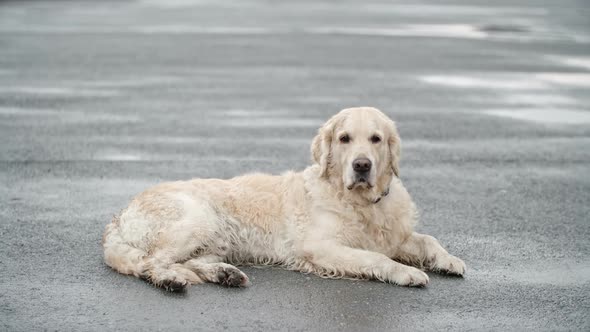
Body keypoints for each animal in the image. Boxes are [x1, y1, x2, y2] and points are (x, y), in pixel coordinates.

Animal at [104, 107, 470, 290]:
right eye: (345, 138)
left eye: (376, 139)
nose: (362, 165)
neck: (361, 203)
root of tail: (119, 214)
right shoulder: (321, 246)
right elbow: (376, 259)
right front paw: (406, 273)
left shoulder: (395, 235)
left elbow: (428, 239)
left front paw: (449, 260)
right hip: (197, 219)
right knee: (151, 262)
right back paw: (171, 280)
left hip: (216, 238)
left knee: (189, 261)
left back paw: (225, 274)